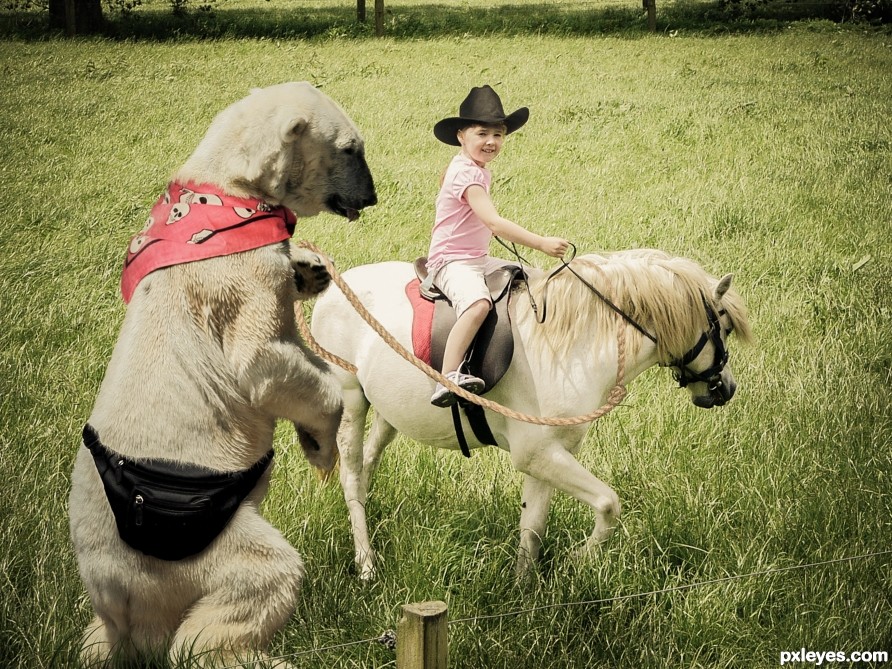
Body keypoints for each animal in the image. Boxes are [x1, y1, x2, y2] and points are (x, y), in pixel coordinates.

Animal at [310, 250, 748, 580]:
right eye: (724, 327)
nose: (726, 388)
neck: (570, 344)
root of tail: (335, 287)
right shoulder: (537, 454)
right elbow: (609, 505)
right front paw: (577, 560)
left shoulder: (549, 456)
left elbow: (532, 529)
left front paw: (525, 592)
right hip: (352, 400)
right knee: (352, 476)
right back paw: (366, 564)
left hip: (388, 412)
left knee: (368, 464)